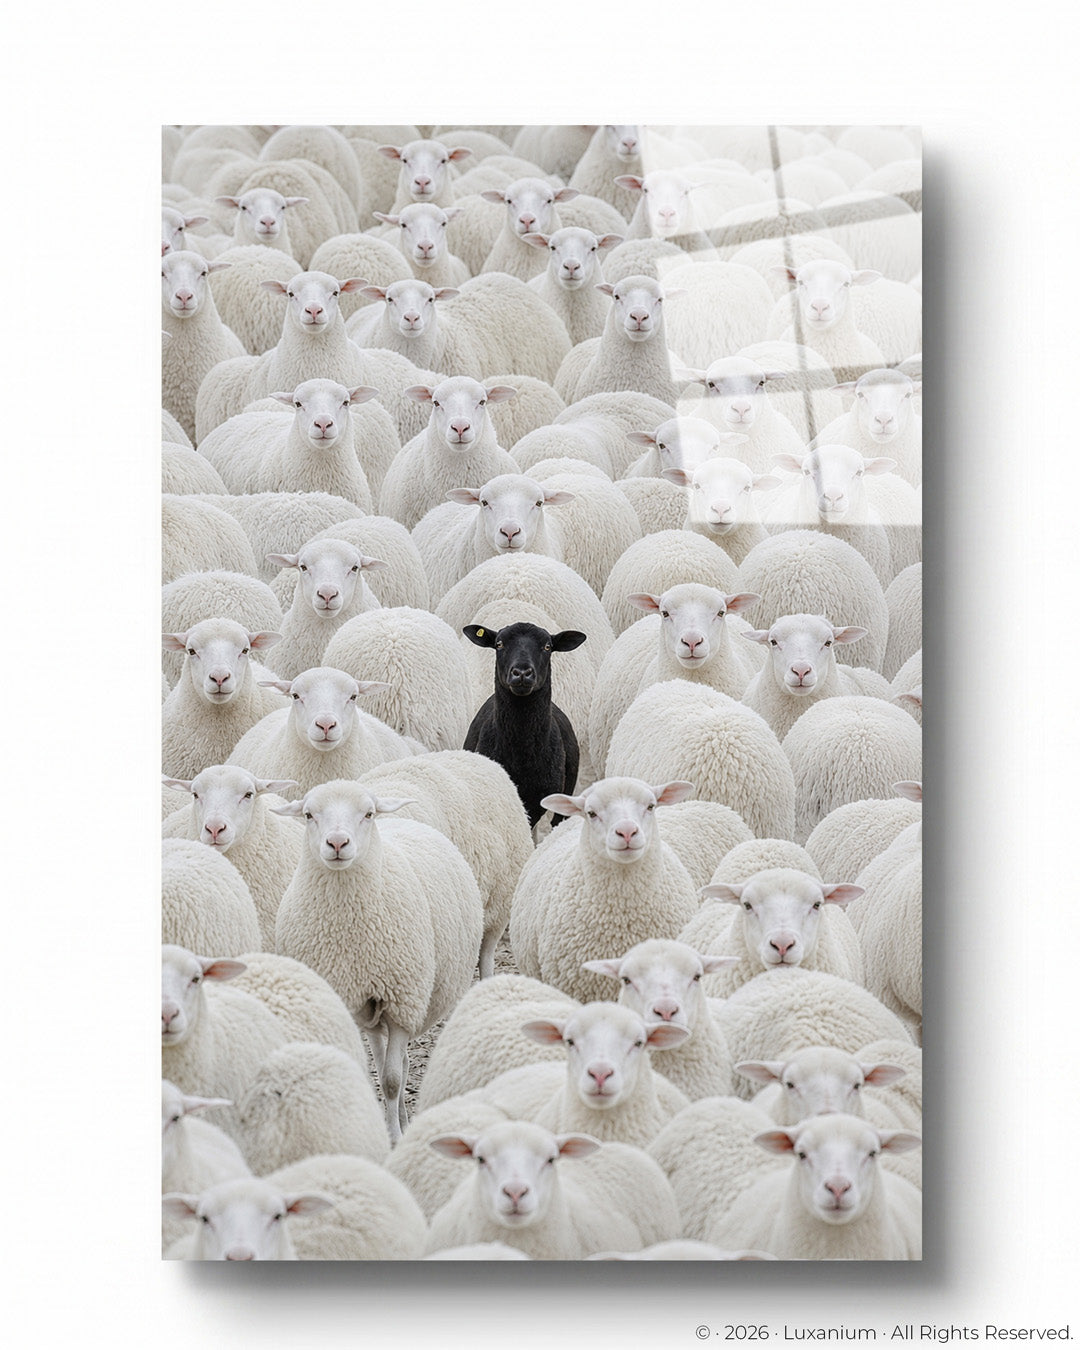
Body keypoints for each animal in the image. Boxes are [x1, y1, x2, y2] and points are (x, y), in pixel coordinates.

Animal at [273, 781, 484, 1139]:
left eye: (368, 814)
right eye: (309, 814)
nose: (338, 843)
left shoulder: (402, 1003)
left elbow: (392, 1080)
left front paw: (395, 1136)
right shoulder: (347, 1001)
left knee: (402, 1066)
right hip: (368, 1011)